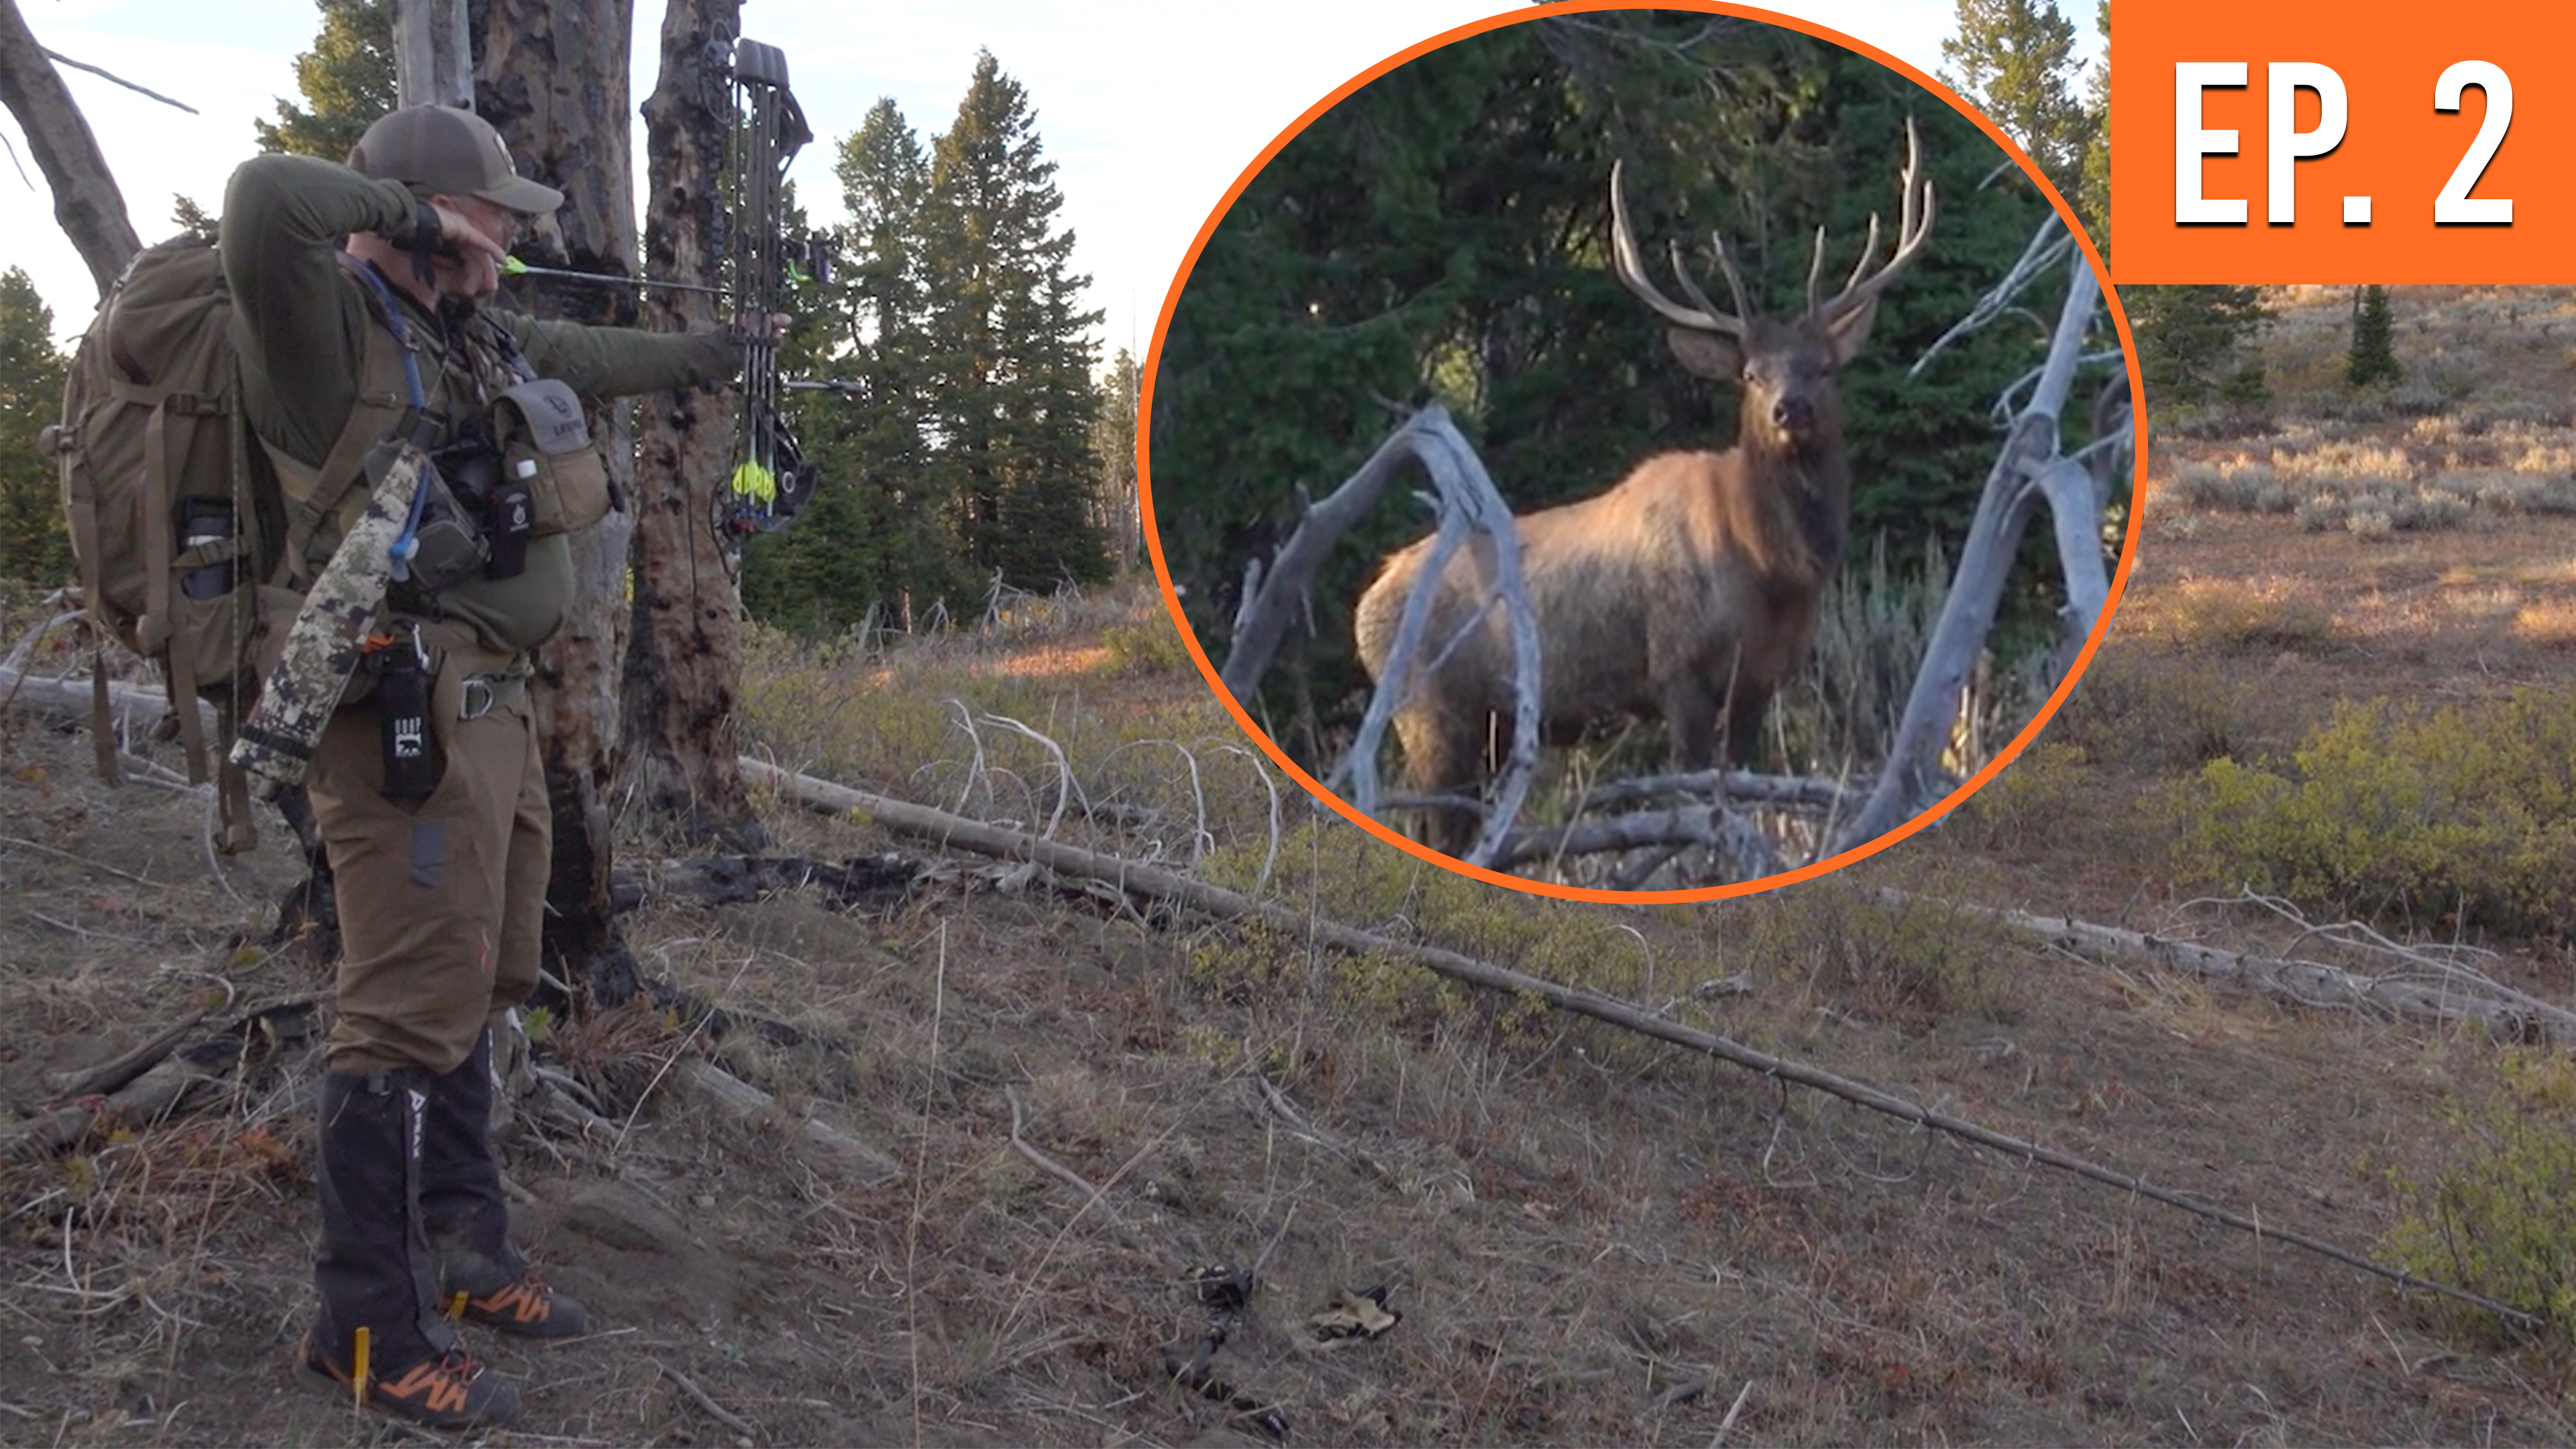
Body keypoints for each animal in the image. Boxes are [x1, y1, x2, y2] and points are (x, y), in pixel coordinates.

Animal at [1353, 121, 1936, 859]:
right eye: (1750, 373)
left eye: (1826, 367)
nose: (1791, 410)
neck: (1772, 571)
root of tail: (1365, 603)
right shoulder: (1676, 664)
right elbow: (1689, 790)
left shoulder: (1762, 678)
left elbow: (1736, 786)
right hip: (1427, 709)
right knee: (1430, 819)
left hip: (1482, 728)